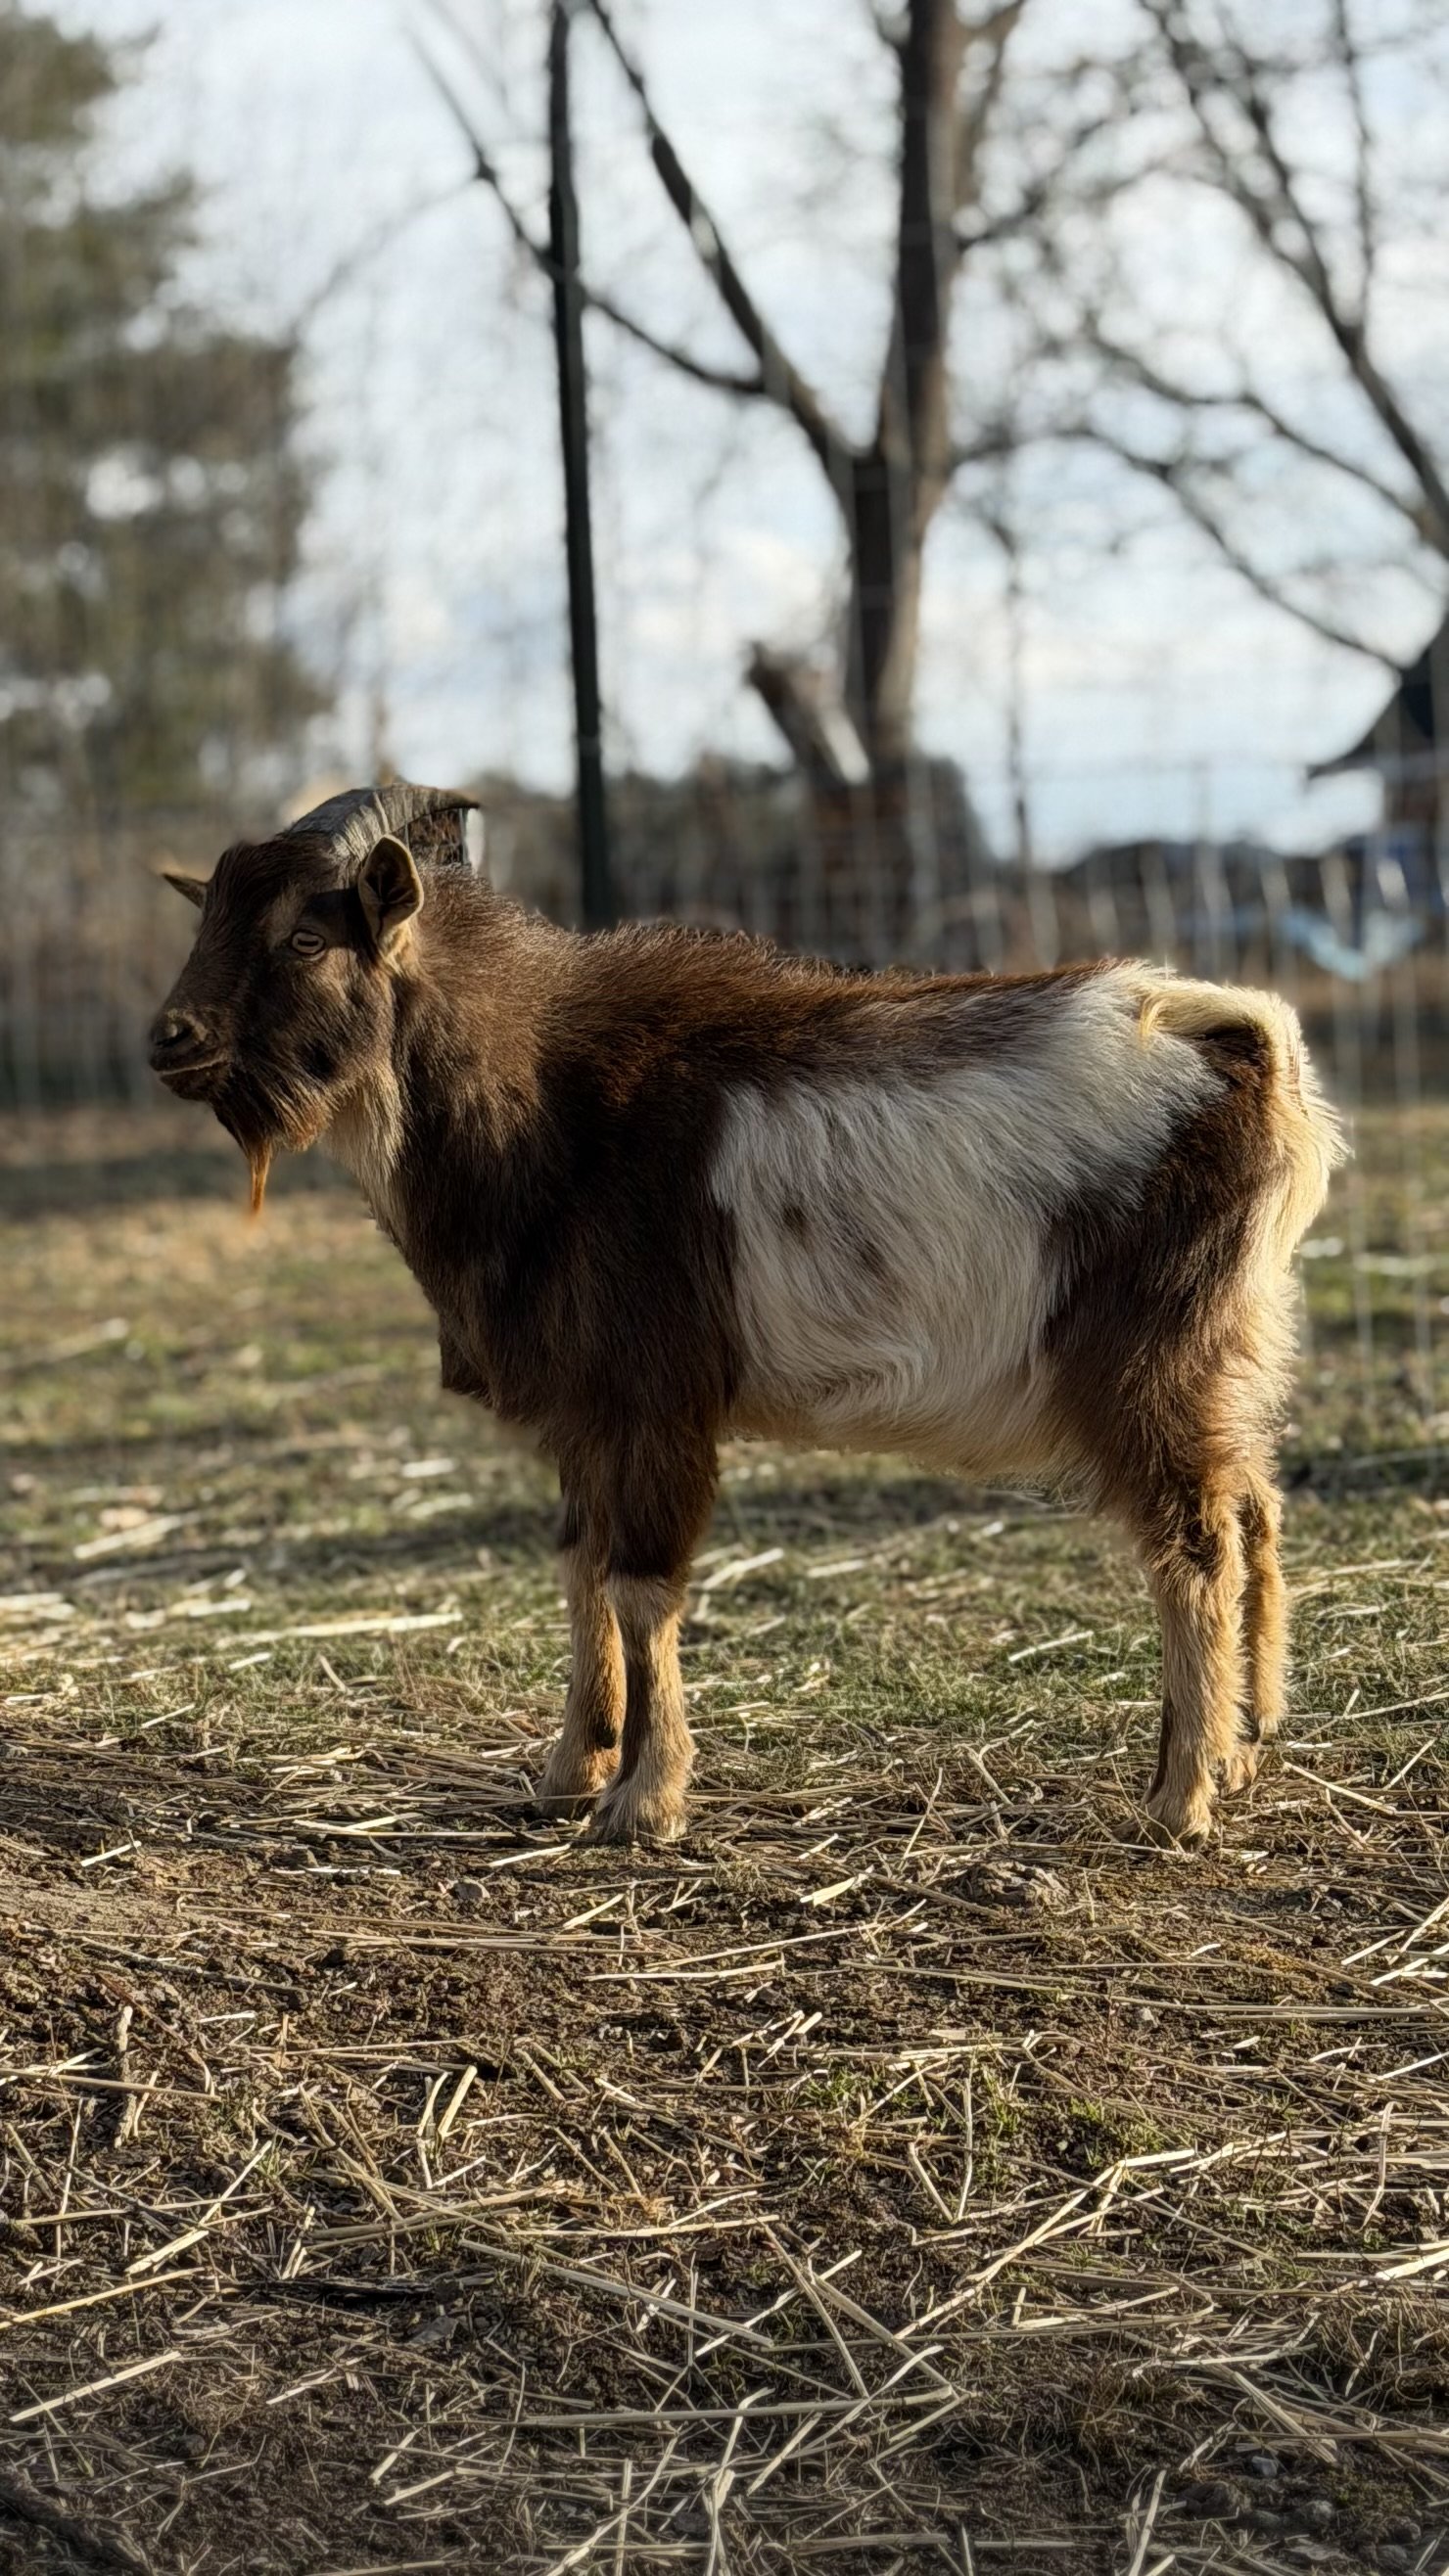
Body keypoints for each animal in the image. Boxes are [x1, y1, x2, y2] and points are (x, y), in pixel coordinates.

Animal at [149, 783, 1344, 1848]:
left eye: (308, 935)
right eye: (207, 916)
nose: (170, 1037)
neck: (546, 1106)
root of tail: (1237, 1040)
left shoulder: (654, 1398)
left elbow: (640, 1583)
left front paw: (645, 1802)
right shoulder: (586, 1411)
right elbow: (579, 1567)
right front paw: (570, 1768)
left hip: (1147, 1358)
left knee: (1194, 1543)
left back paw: (1178, 1800)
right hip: (1234, 1345)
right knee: (1254, 1508)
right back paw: (1240, 1749)